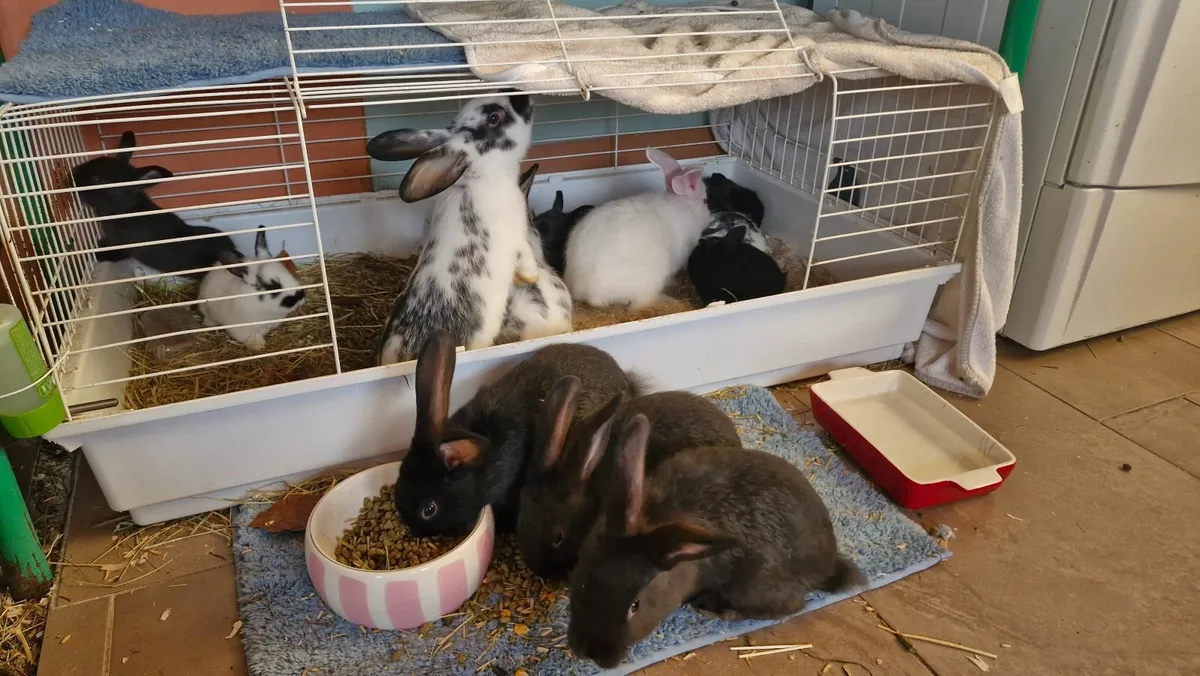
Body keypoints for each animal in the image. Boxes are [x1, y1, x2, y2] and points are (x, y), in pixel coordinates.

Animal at [71, 130, 239, 277]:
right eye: (94, 160)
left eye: (96, 180)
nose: (72, 173)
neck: (124, 209)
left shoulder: (125, 245)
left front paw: (99, 253)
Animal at [366, 94, 543, 365]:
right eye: (494, 118)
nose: (521, 95)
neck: (483, 174)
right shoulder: (517, 236)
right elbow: (526, 258)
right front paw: (530, 278)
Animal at [563, 147, 709, 310]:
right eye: (705, 201)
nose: (709, 217)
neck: (686, 207)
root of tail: (590, 292)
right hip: (656, 270)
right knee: (640, 303)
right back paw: (667, 300)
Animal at [568, 416, 864, 669]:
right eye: (581, 582)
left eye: (635, 606)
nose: (591, 654)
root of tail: (826, 563)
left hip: (752, 586)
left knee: (791, 605)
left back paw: (716, 609)